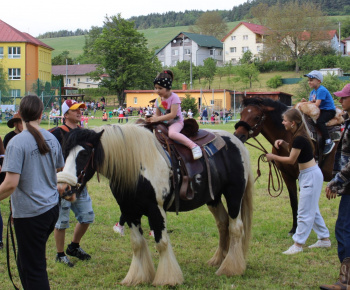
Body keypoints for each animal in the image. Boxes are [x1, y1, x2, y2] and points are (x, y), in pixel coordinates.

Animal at [58, 123, 254, 286]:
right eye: (64, 153)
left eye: (84, 154)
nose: (63, 188)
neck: (138, 166)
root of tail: (237, 141)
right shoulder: (129, 211)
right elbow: (137, 244)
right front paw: (137, 277)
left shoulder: (156, 210)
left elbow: (162, 243)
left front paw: (167, 278)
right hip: (213, 199)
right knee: (223, 224)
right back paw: (219, 260)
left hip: (234, 195)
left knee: (236, 227)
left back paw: (230, 268)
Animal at [234, 97, 338, 236]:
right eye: (241, 113)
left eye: (256, 117)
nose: (238, 135)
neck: (287, 134)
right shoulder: (287, 175)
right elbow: (293, 201)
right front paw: (294, 228)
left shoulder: (301, 175)